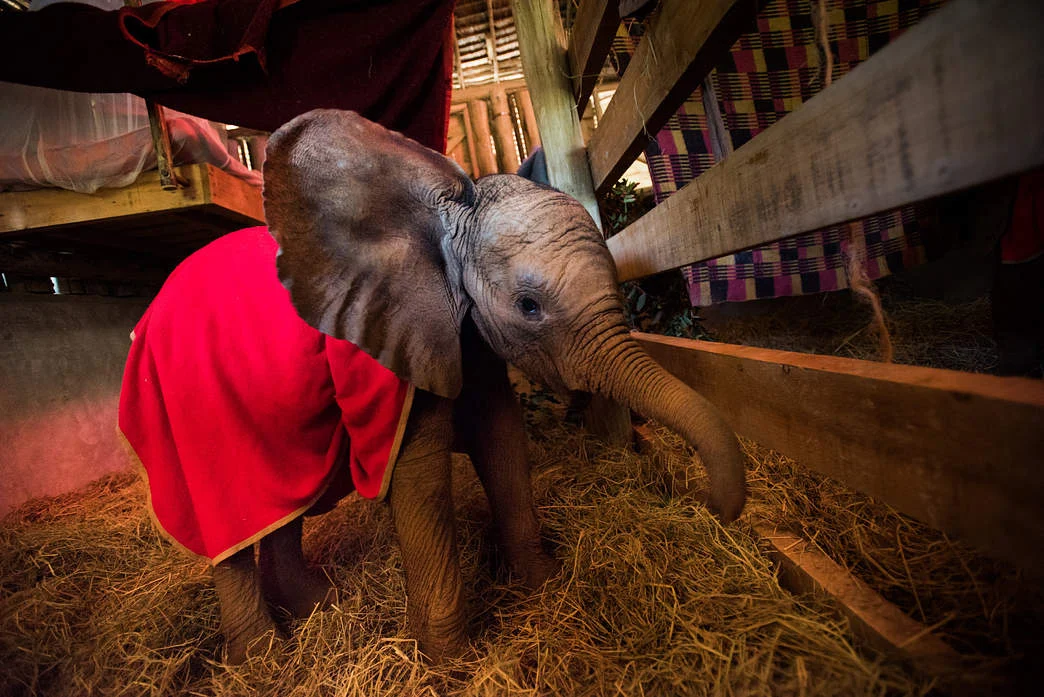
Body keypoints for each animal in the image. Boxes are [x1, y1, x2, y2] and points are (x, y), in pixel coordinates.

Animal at [118, 109, 746, 665]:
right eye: (529, 305)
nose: (706, 505)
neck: (443, 222)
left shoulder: (461, 326)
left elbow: (501, 438)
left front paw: (543, 588)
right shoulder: (394, 352)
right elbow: (418, 476)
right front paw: (450, 664)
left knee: (284, 509)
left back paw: (319, 607)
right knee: (228, 530)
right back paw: (264, 660)